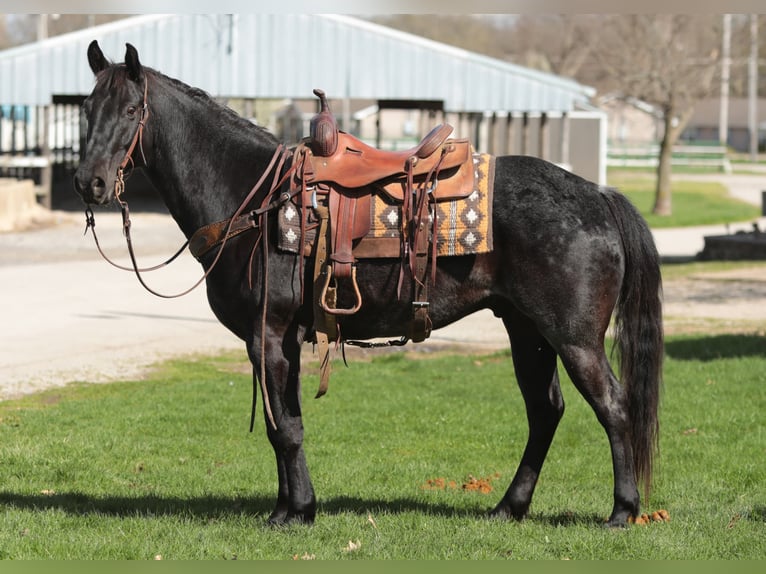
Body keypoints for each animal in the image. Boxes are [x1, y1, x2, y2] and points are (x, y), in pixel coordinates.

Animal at [72, 42, 664, 532]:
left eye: (131, 111)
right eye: (86, 110)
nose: (88, 182)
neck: (255, 200)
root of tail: (597, 194)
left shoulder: (268, 335)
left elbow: (283, 429)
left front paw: (295, 513)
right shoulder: (285, 341)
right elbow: (288, 422)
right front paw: (291, 507)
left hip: (574, 338)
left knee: (613, 406)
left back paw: (621, 511)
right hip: (528, 332)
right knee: (545, 412)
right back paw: (508, 507)